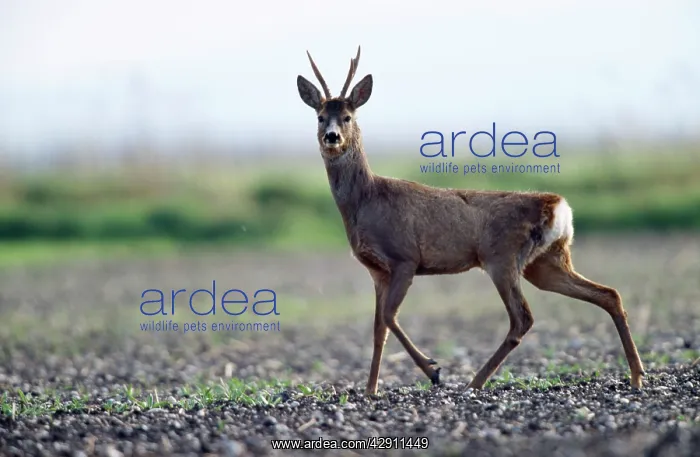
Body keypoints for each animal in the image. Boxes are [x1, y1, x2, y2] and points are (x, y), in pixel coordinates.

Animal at [296, 46, 645, 396]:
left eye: (348, 117)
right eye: (320, 116)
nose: (331, 136)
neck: (366, 200)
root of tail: (559, 207)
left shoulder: (405, 258)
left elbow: (390, 318)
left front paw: (433, 371)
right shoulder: (376, 271)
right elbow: (378, 328)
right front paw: (371, 390)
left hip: (501, 256)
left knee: (523, 318)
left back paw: (474, 382)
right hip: (546, 263)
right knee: (608, 294)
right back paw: (636, 375)